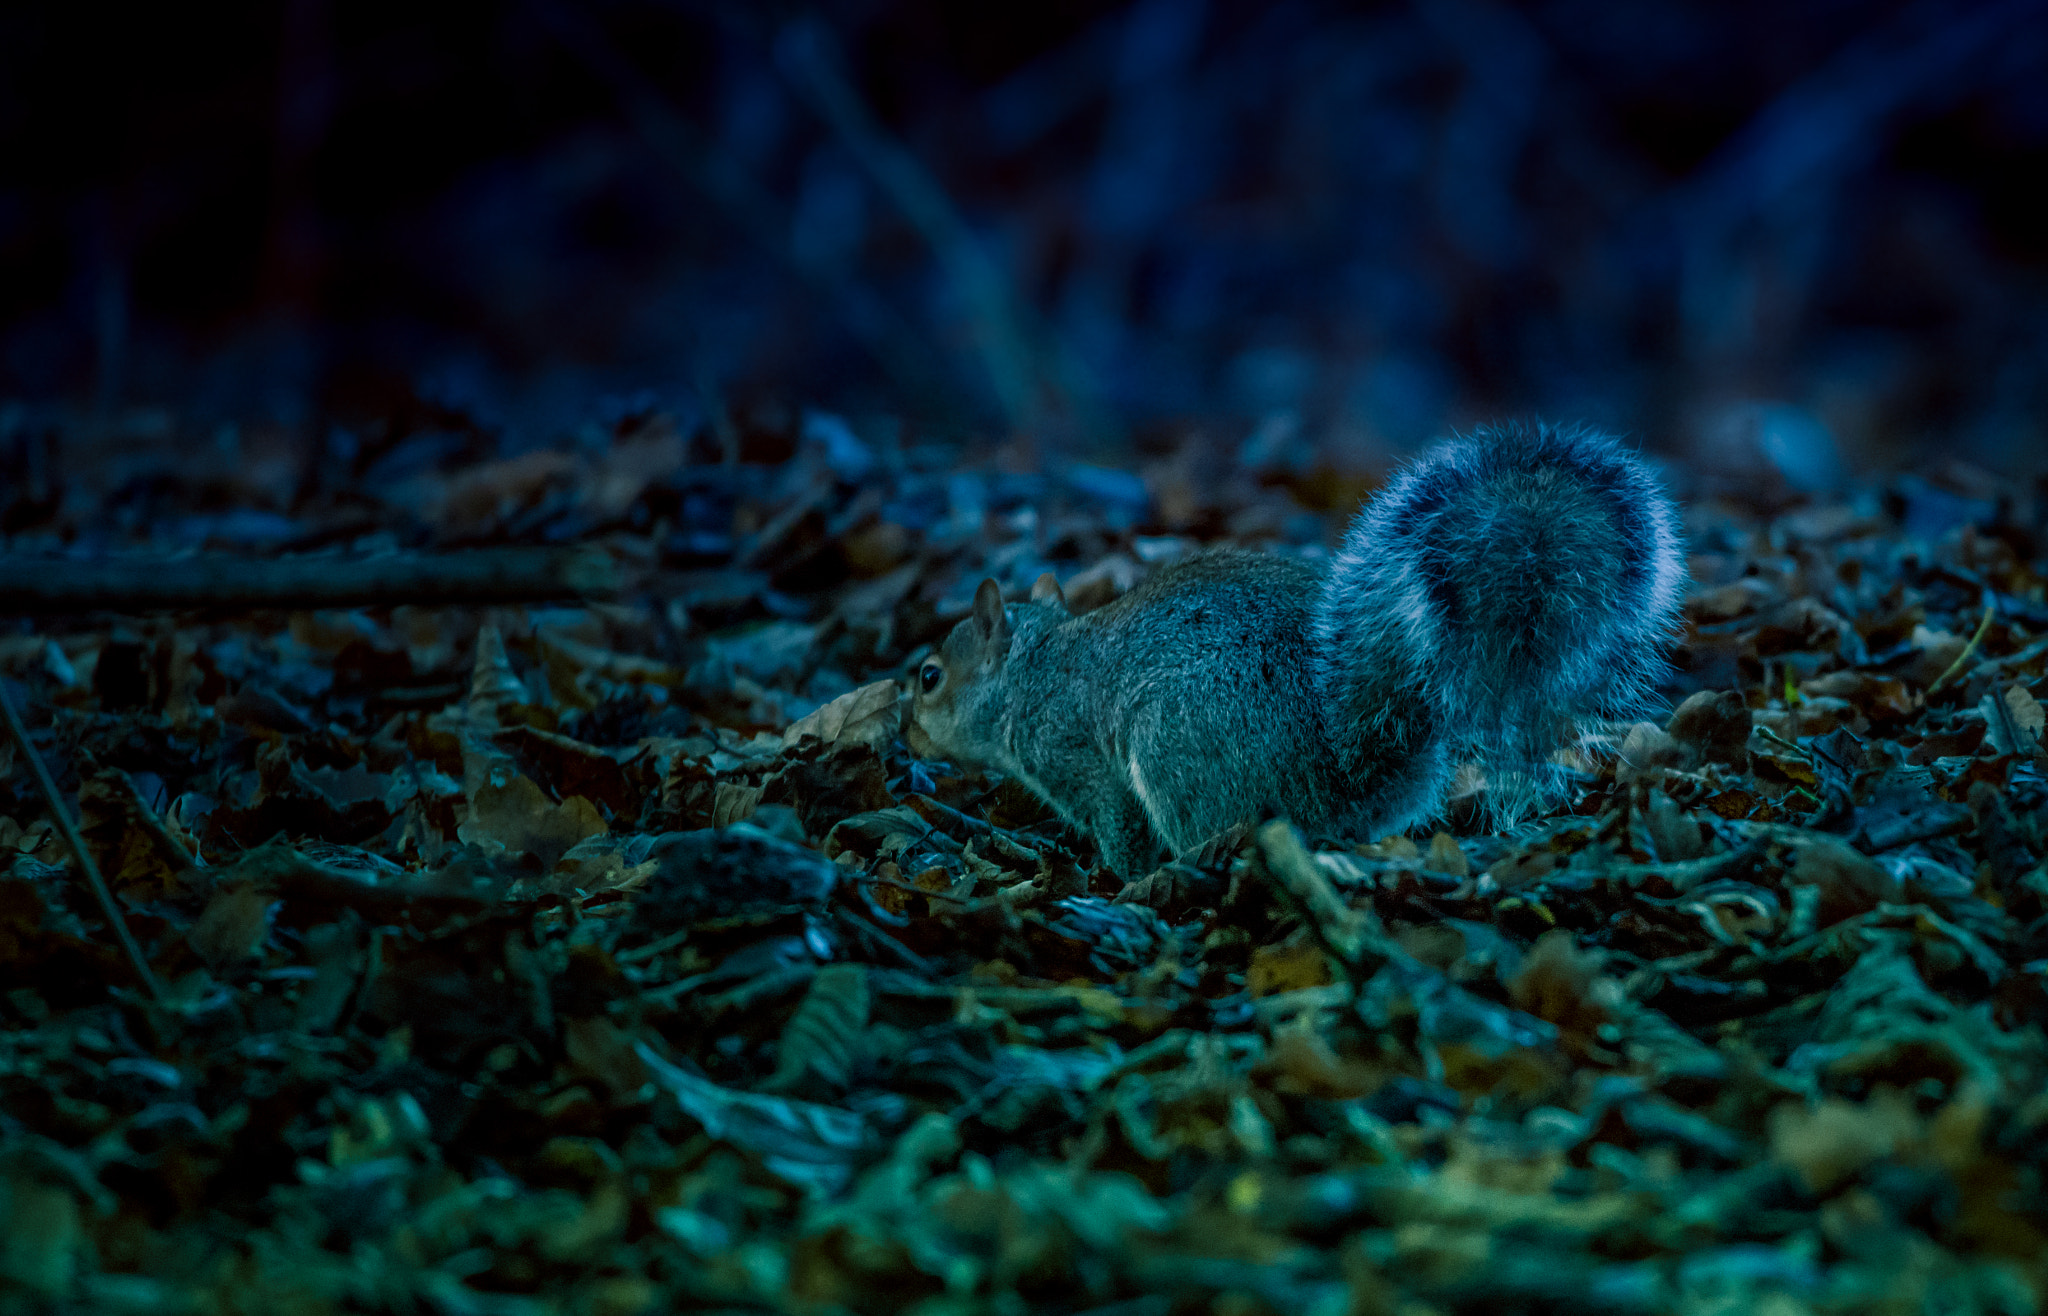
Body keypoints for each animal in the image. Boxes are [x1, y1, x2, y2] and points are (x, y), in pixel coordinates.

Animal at [905, 422, 1686, 878]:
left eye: (929, 677)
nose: (905, 735)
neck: (1028, 675)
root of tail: (1340, 783)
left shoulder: (1077, 759)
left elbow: (1120, 830)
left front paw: (1114, 880)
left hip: (1175, 745)